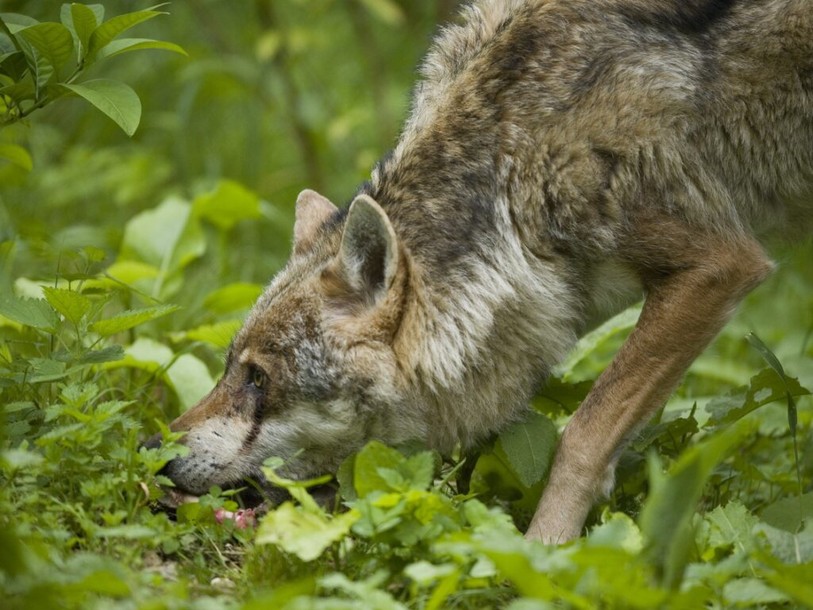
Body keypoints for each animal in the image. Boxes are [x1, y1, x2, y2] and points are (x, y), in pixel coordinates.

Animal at [149, 0, 813, 542]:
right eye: (230, 369)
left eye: (259, 378)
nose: (152, 450)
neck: (509, 165)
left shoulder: (718, 265)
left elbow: (581, 437)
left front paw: (546, 553)